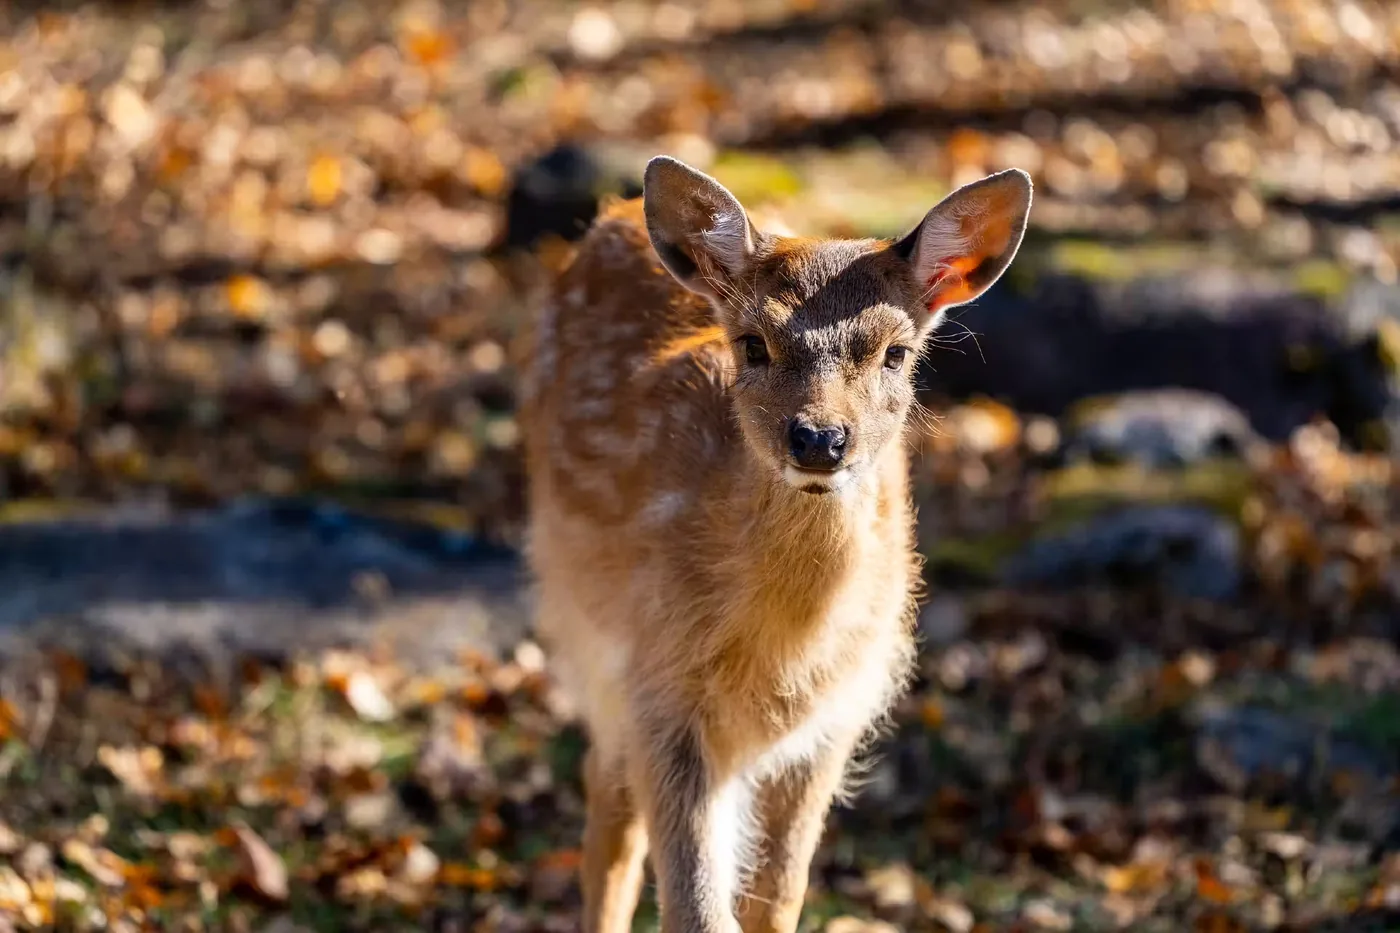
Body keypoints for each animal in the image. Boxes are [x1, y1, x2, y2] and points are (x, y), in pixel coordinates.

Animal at [519, 155, 1032, 933]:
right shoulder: (662, 684)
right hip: (587, 629)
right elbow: (696, 909)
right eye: (754, 343)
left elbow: (777, 897)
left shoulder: (835, 716)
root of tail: (612, 214)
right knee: (607, 810)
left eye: (896, 352)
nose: (819, 438)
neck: (780, 653)